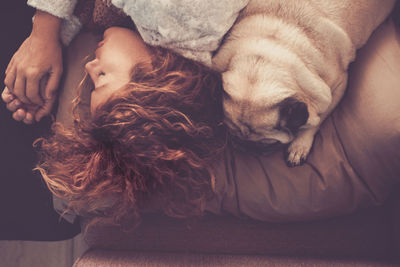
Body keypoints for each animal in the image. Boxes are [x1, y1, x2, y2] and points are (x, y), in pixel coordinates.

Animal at [214, 0, 396, 166]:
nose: (243, 147)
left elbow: (315, 122)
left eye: (268, 144)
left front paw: (299, 146)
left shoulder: (338, 87)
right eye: (232, 135)